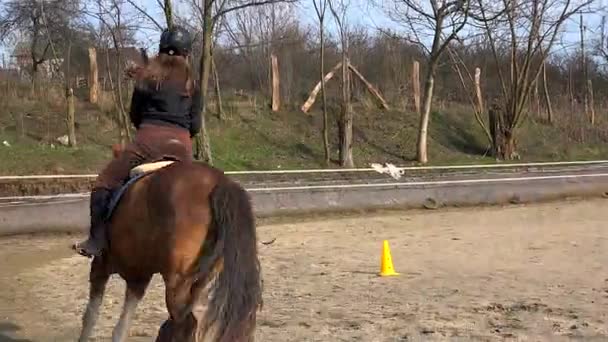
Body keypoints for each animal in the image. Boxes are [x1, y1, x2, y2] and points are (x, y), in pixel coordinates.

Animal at [75, 145, 262, 342]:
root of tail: (219, 182)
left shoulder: (102, 266)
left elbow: (90, 316)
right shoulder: (138, 278)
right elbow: (121, 327)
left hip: (176, 282)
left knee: (183, 323)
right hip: (199, 280)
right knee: (185, 322)